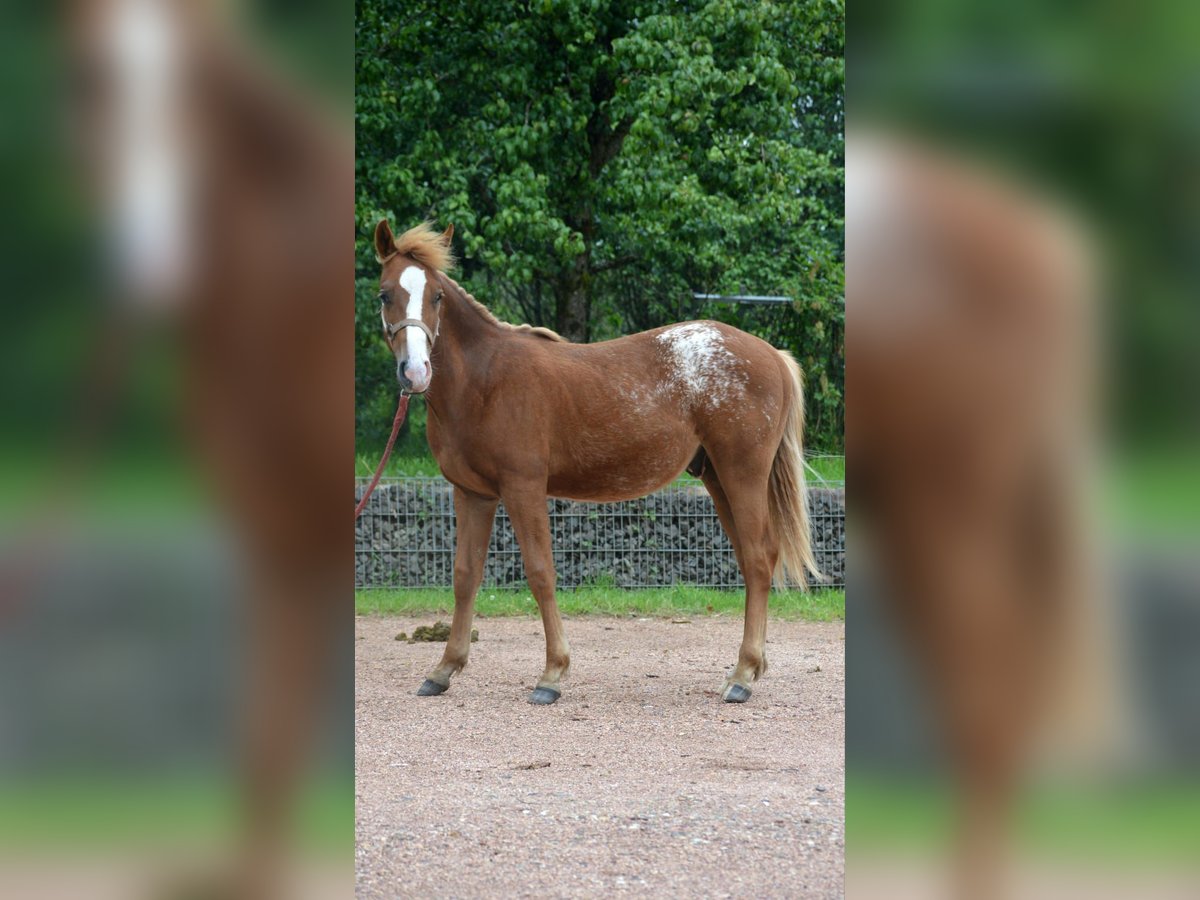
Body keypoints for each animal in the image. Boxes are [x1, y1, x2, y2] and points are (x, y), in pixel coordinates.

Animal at [376, 218, 825, 705]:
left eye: (437, 296)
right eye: (384, 294)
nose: (414, 372)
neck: (485, 381)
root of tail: (773, 355)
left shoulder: (523, 488)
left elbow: (541, 573)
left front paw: (552, 675)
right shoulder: (472, 493)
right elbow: (464, 576)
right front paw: (443, 670)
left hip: (742, 474)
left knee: (760, 559)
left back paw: (741, 677)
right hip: (718, 478)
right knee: (749, 559)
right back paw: (749, 668)